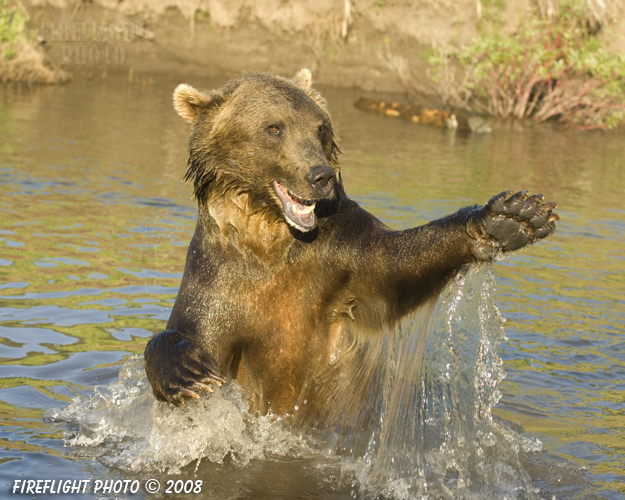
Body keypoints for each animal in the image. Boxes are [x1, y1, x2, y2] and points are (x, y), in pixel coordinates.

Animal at [145, 69, 556, 422]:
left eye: (320, 127)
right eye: (273, 127)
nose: (321, 175)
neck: (271, 239)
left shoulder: (337, 258)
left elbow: (396, 263)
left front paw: (512, 216)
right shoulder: (223, 277)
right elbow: (196, 333)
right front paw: (187, 373)